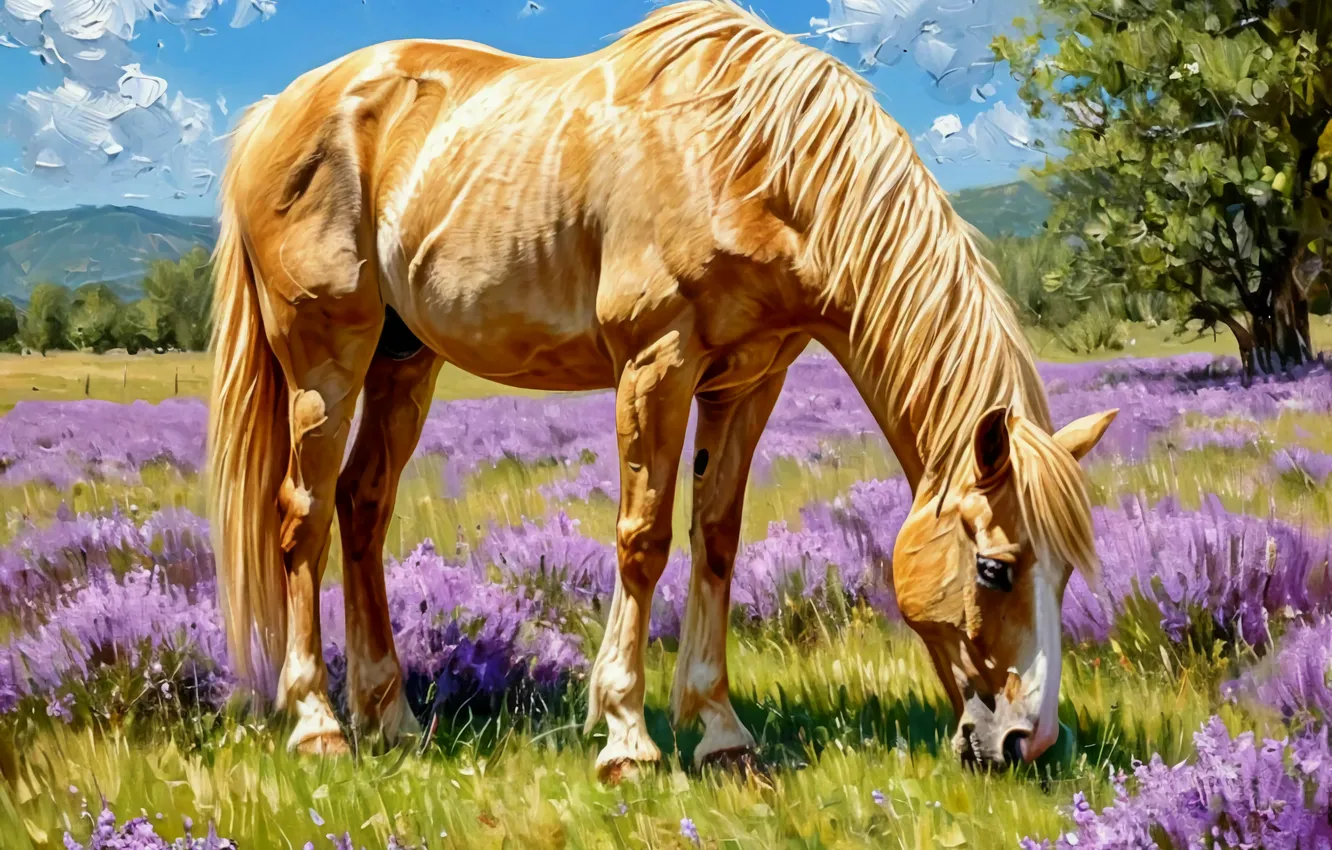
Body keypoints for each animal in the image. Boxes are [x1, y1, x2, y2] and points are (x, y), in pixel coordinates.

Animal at [207, 0, 1116, 778]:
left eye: (1068, 574)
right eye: (995, 569)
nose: (1026, 742)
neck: (753, 163)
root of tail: (275, 112)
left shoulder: (748, 383)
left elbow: (715, 539)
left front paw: (719, 731)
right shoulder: (656, 363)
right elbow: (641, 539)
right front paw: (627, 737)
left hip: (404, 360)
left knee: (363, 507)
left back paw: (389, 718)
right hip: (325, 361)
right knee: (302, 519)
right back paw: (319, 724)